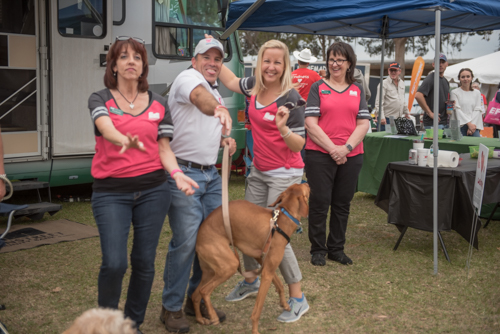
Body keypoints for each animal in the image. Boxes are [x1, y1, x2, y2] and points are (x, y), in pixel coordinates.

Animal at [191, 183, 308, 334]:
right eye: (305, 188)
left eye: (297, 185)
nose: (307, 183)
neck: (282, 220)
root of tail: (198, 238)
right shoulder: (267, 272)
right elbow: (257, 310)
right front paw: (255, 330)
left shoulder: (263, 262)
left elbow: (280, 284)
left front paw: (284, 304)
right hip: (229, 266)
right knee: (204, 291)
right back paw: (213, 316)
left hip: (210, 271)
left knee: (195, 295)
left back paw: (200, 319)